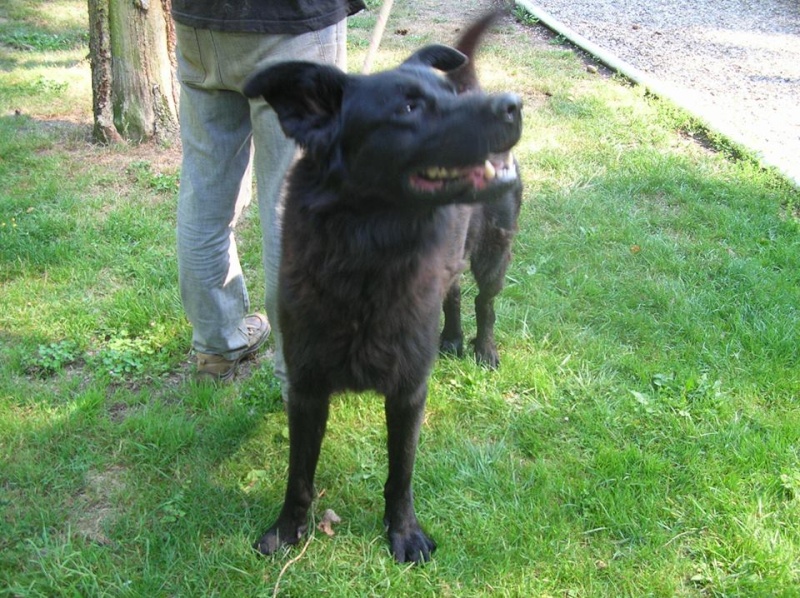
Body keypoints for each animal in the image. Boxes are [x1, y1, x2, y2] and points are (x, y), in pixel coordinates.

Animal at [241, 15, 520, 568]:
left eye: (446, 97)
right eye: (409, 108)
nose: (513, 106)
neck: (366, 257)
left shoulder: (408, 391)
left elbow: (401, 474)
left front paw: (404, 532)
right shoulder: (306, 387)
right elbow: (298, 475)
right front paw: (287, 530)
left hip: (494, 250)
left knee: (484, 299)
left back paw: (482, 348)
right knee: (455, 293)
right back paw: (451, 339)